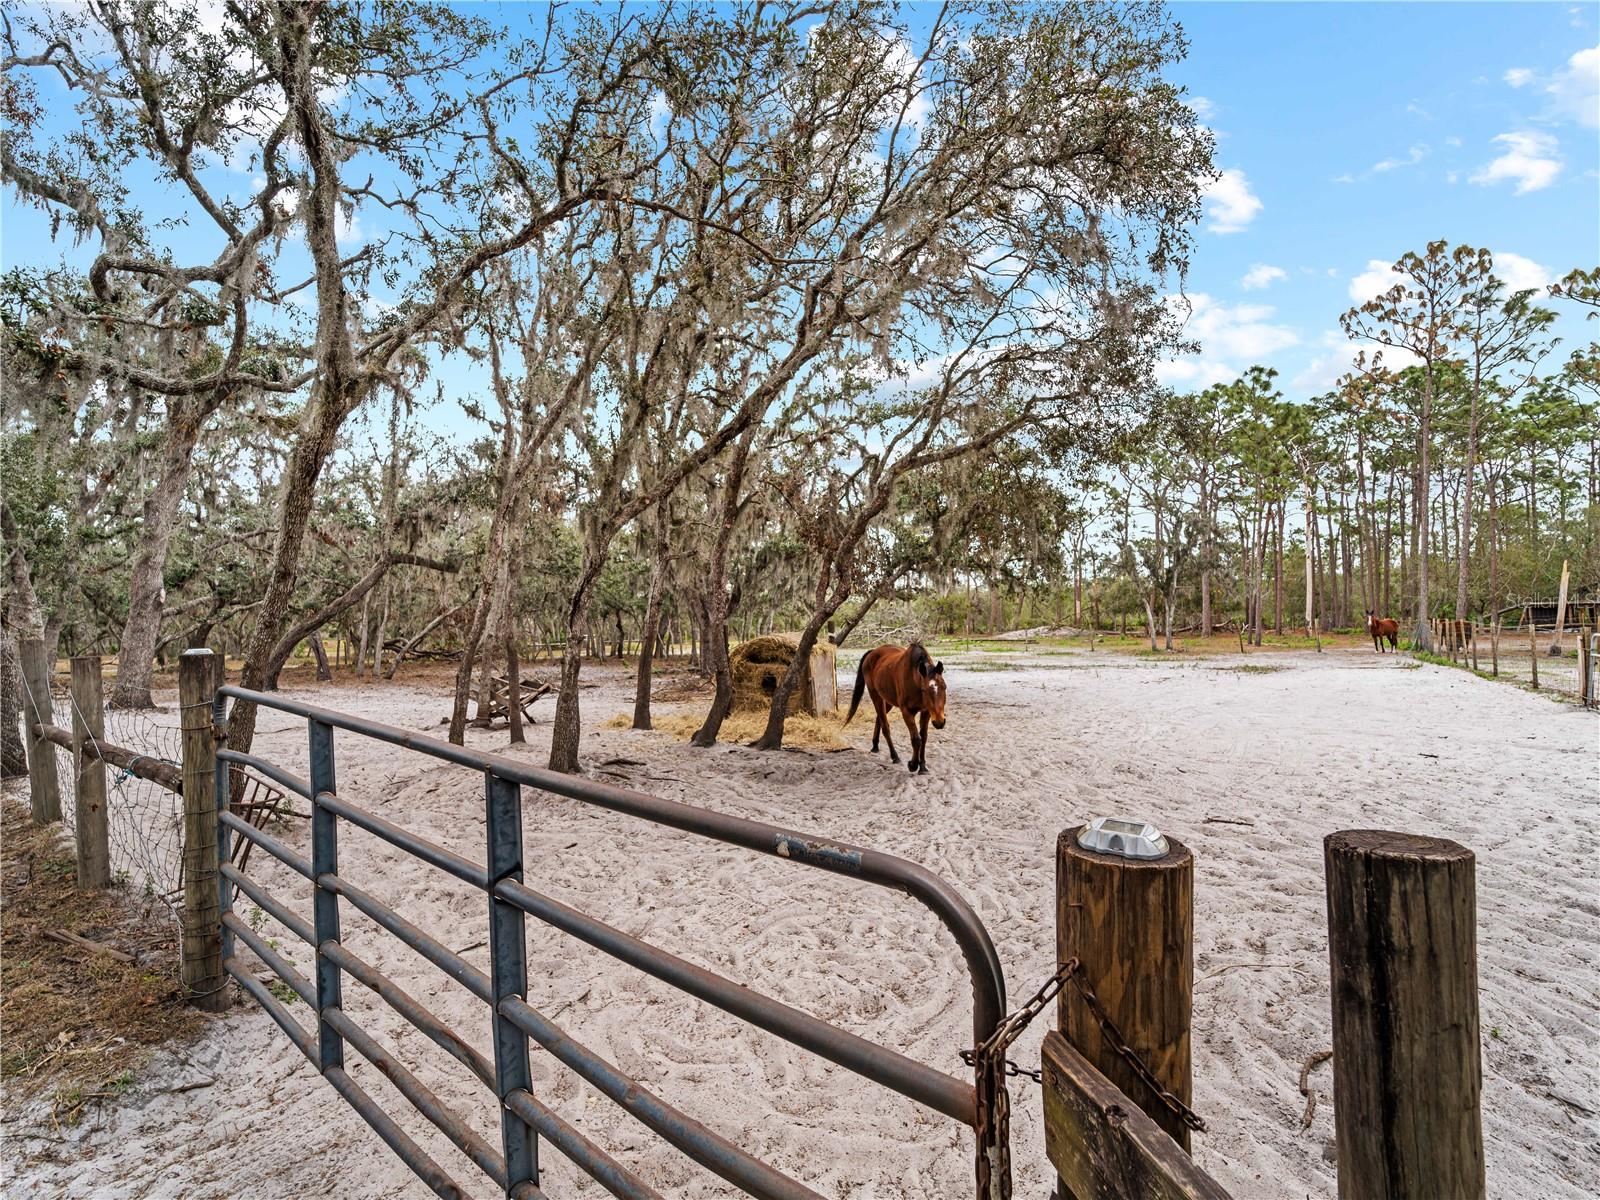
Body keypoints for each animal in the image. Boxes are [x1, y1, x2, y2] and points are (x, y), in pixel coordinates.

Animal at [844, 643, 940, 774]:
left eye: (943, 687)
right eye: (925, 690)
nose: (940, 722)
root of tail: (872, 652)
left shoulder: (926, 712)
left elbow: (923, 737)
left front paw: (923, 767)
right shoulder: (907, 712)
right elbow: (916, 739)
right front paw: (913, 765)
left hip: (887, 701)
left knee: (879, 718)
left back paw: (875, 745)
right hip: (876, 696)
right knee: (885, 726)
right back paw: (894, 756)